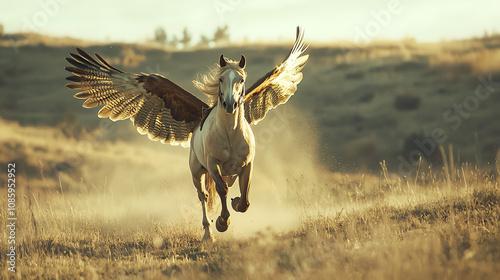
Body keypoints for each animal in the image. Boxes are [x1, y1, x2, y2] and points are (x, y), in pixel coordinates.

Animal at [65, 26, 308, 241]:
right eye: (221, 79)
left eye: (241, 80)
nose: (229, 104)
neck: (229, 134)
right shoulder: (212, 164)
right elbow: (221, 191)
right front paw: (222, 222)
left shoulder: (247, 164)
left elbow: (245, 199)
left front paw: (236, 203)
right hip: (196, 171)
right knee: (204, 196)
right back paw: (208, 233)